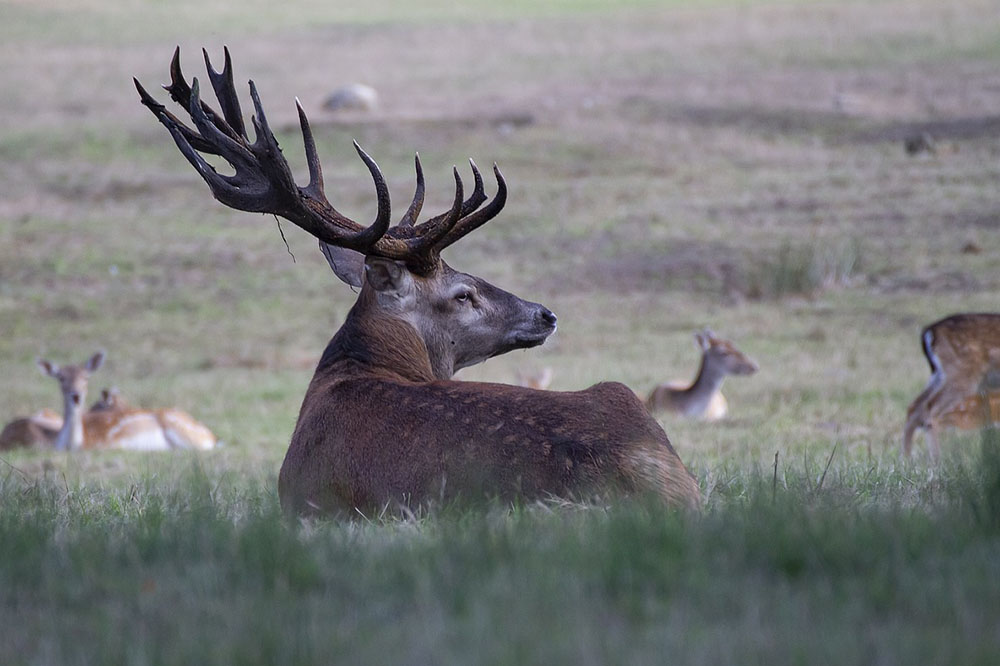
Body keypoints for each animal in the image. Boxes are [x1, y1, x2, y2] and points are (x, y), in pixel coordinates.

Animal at [900, 312, 1000, 456]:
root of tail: (929, 331)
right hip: (962, 373)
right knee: (930, 408)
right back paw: (936, 461)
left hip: (940, 374)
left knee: (915, 406)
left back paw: (905, 459)